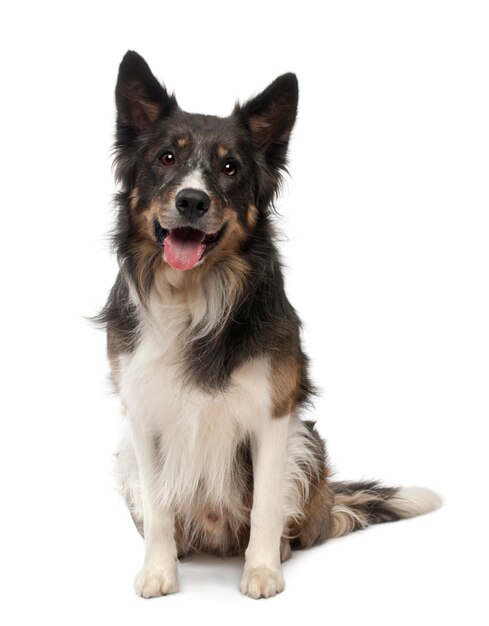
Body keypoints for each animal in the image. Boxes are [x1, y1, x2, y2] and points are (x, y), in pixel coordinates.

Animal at [97, 51, 440, 596]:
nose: (191, 200)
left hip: (307, 443)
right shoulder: (142, 415)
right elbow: (158, 506)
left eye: (229, 167)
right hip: (127, 454)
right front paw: (159, 571)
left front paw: (260, 572)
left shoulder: (274, 414)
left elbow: (264, 506)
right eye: (166, 159)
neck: (195, 297)